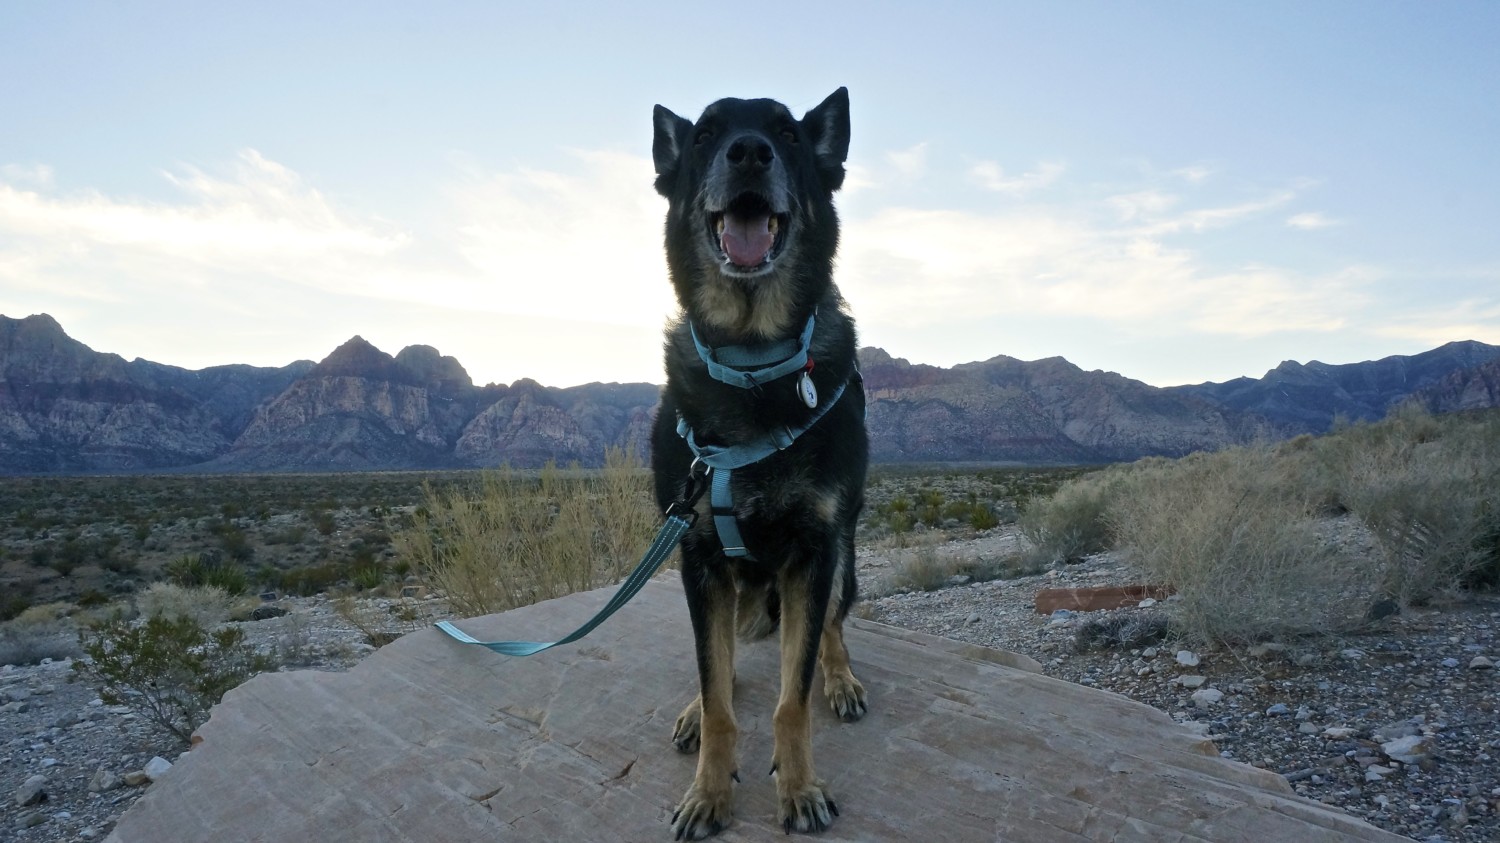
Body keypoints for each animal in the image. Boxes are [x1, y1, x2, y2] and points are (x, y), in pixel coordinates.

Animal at [651, 88, 876, 834]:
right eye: (706, 135)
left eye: (788, 134)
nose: (749, 151)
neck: (750, 360)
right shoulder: (696, 557)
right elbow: (720, 690)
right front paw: (707, 791)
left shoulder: (814, 551)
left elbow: (791, 698)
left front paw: (800, 788)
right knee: (719, 664)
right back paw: (694, 709)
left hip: (843, 562)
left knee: (830, 628)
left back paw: (842, 679)